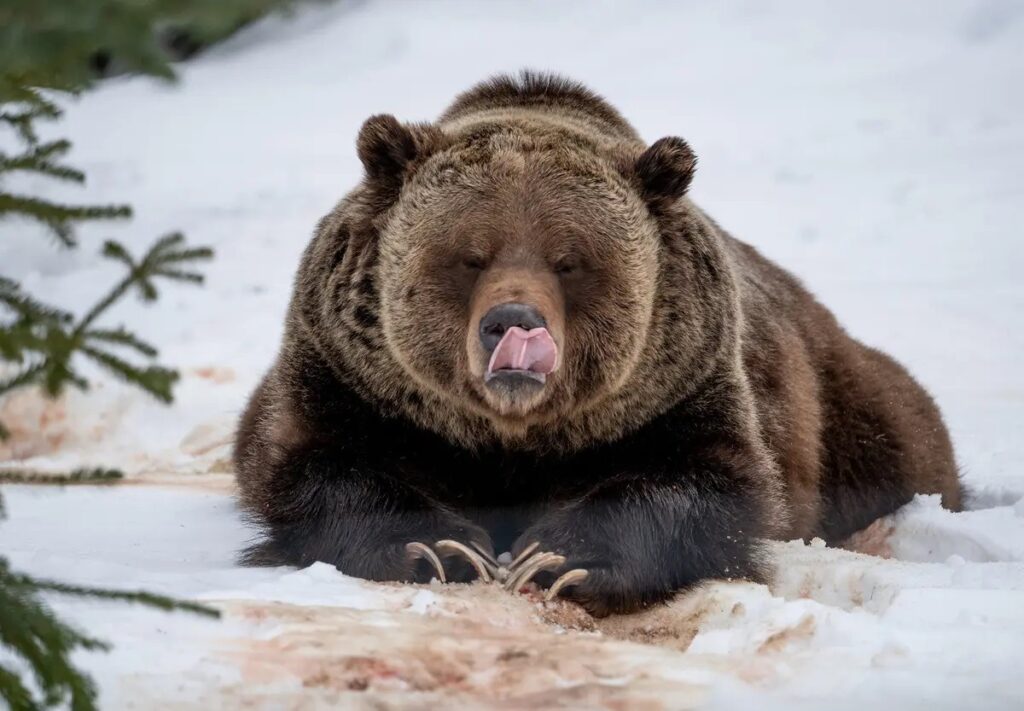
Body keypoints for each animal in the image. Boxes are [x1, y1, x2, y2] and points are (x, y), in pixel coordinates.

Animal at [234, 71, 962, 616]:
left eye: (569, 260)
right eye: (470, 255)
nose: (513, 323)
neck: (512, 438)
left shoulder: (676, 389)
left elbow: (703, 482)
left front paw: (556, 557)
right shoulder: (356, 383)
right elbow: (321, 465)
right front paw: (445, 549)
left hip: (848, 407)